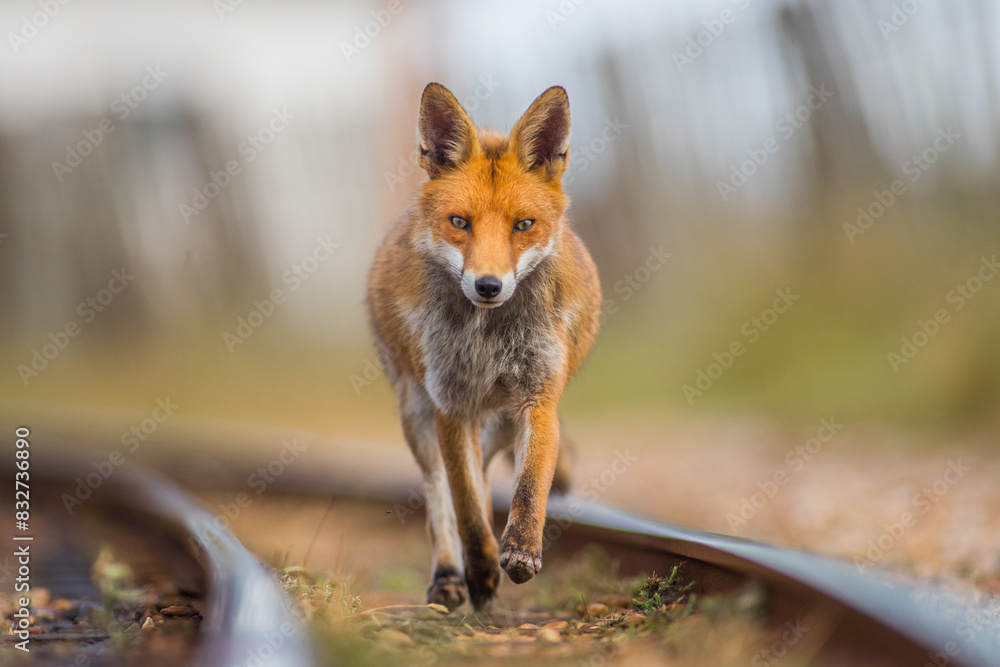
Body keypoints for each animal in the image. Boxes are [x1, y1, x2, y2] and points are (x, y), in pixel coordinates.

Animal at [367, 82, 601, 611]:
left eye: (523, 225)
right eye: (460, 222)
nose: (489, 285)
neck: (489, 341)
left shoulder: (538, 399)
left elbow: (530, 486)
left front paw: (520, 551)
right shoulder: (451, 406)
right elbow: (468, 509)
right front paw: (480, 571)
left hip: (501, 421)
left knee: (494, 472)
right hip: (417, 413)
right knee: (440, 499)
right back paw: (449, 576)